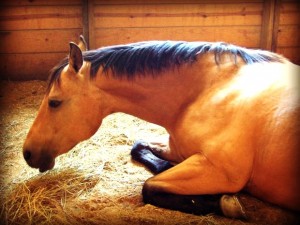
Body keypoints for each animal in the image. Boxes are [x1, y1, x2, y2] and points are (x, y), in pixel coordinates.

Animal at [23, 36, 300, 219]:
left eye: (54, 102)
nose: (27, 153)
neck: (209, 89)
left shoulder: (221, 171)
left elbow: (149, 187)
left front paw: (225, 203)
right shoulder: (177, 148)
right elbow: (139, 148)